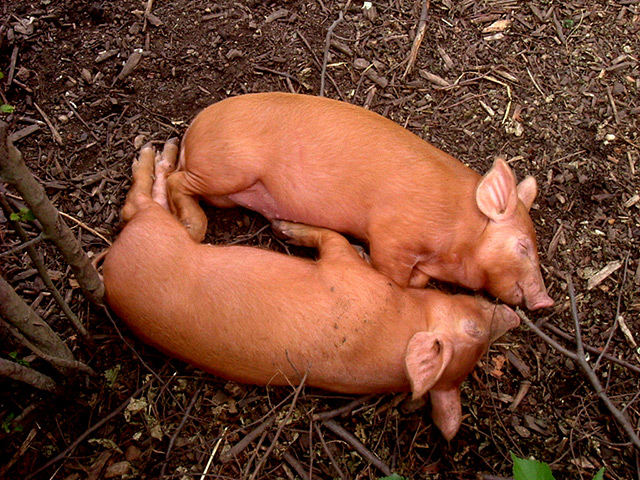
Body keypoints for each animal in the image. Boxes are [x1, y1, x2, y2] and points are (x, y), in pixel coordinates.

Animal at [103, 140, 520, 440]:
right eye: (476, 328)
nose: (508, 313)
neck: (401, 322)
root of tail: (110, 270)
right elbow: (336, 238)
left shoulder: (344, 270)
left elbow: (333, 240)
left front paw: (283, 226)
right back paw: (162, 151)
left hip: (157, 230)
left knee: (139, 206)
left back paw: (156, 154)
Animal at [166, 92, 553, 310]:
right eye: (523, 246)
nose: (545, 301)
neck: (459, 235)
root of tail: (191, 130)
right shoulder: (392, 233)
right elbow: (395, 277)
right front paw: (363, 256)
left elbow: (417, 281)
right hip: (227, 169)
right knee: (175, 181)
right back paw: (190, 227)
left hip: (226, 190)